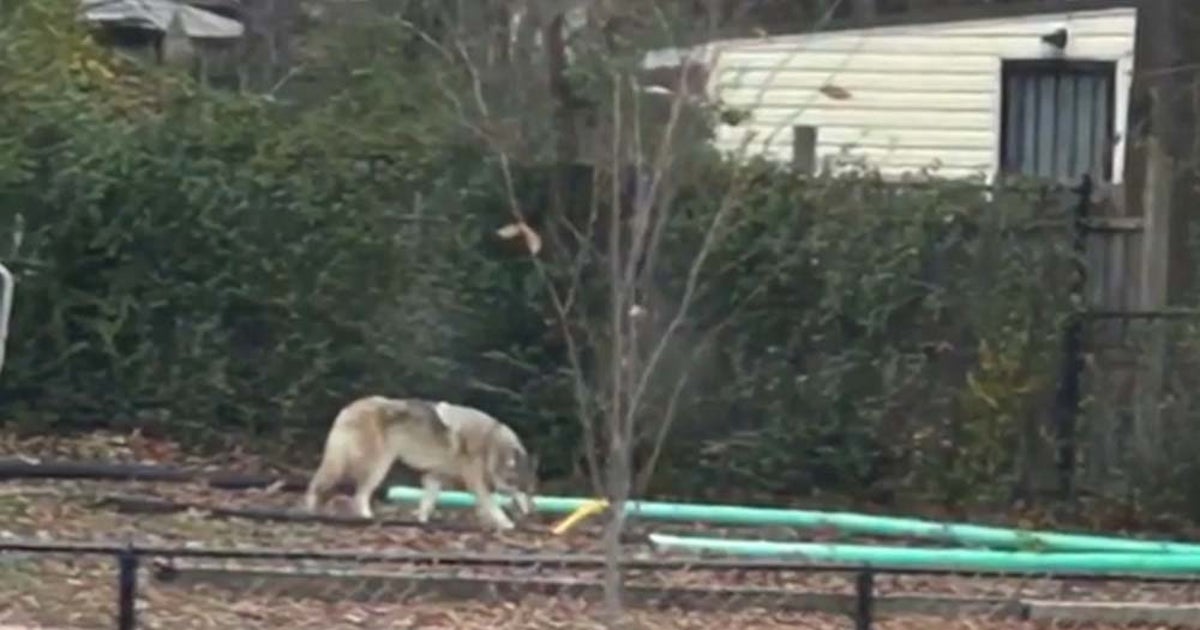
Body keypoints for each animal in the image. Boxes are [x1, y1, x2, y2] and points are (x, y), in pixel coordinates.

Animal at [303, 395, 538, 530]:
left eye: (531, 490)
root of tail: (348, 408)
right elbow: (492, 505)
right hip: (377, 465)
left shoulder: (434, 477)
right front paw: (506, 523)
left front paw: (421, 522)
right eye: (523, 488)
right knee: (355, 494)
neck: (491, 445)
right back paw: (362, 516)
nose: (532, 511)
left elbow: (427, 503)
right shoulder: (476, 483)